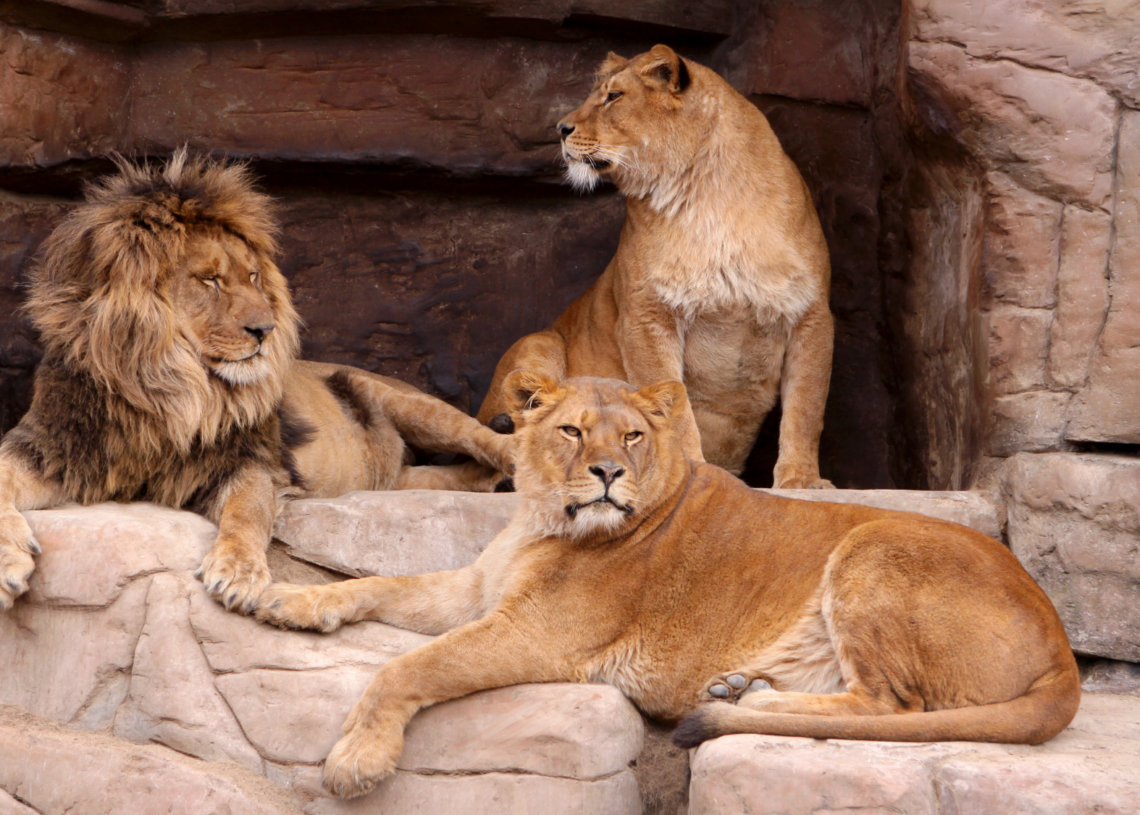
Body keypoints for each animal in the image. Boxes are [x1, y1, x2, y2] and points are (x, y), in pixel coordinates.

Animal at [0, 151, 514, 614]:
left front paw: (239, 573)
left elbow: (249, 511)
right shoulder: (52, 446)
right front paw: (8, 563)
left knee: (487, 440)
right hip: (391, 480)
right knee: (441, 476)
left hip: (414, 406)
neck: (167, 390)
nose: (265, 329)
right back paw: (490, 482)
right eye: (209, 280)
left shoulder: (249, 460)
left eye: (251, 276)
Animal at [257, 373, 1079, 799]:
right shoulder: (474, 590)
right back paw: (743, 687)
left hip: (873, 545)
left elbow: (410, 666)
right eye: (572, 431)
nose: (608, 472)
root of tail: (1063, 650)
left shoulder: (535, 634)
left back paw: (751, 699)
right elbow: (378, 581)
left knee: (891, 704)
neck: (540, 517)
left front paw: (357, 759)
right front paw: (287, 599)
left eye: (632, 436)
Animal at [477, 44, 835, 488]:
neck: (710, 197)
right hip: (535, 344)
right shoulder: (646, 316)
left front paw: (802, 479)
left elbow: (806, 407)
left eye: (614, 97)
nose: (560, 128)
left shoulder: (811, 313)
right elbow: (673, 411)